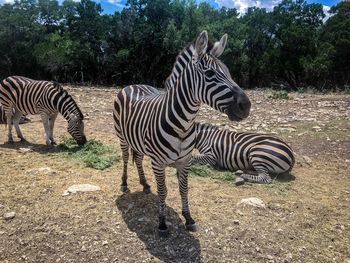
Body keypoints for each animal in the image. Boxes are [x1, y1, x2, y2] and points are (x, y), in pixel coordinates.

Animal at [113, 31, 250, 237]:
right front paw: (162, 223)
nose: (246, 106)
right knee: (126, 157)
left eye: (229, 72)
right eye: (210, 74)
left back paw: (144, 184)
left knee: (137, 158)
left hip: (137, 140)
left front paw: (188, 218)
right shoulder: (158, 163)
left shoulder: (185, 161)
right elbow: (163, 192)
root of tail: (133, 85)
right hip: (122, 137)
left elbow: (184, 189)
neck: (183, 125)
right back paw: (124, 184)